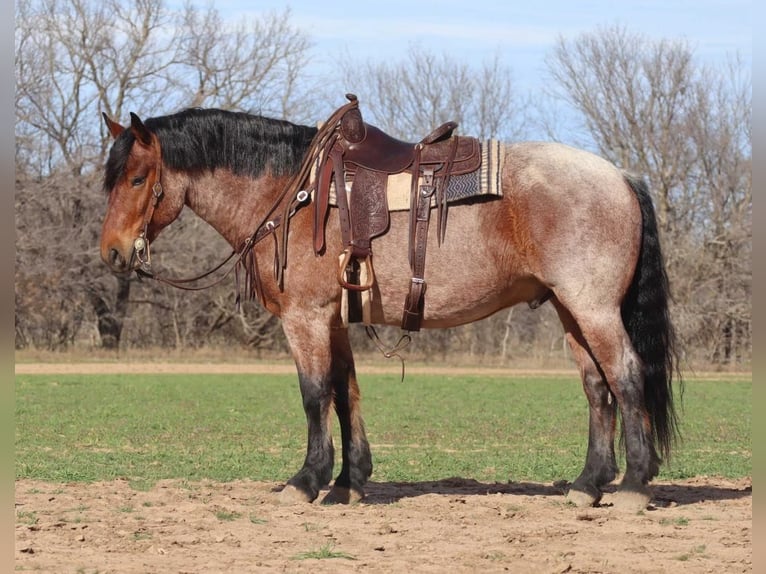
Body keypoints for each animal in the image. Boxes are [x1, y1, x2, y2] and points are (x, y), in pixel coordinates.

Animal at [99, 103, 680, 512]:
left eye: (136, 178)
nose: (113, 253)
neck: (293, 193)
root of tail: (621, 176)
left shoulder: (306, 317)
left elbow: (314, 394)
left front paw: (306, 481)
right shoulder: (333, 319)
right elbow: (345, 392)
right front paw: (348, 482)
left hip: (593, 308)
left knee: (626, 377)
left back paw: (633, 485)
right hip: (569, 311)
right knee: (597, 387)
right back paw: (588, 485)